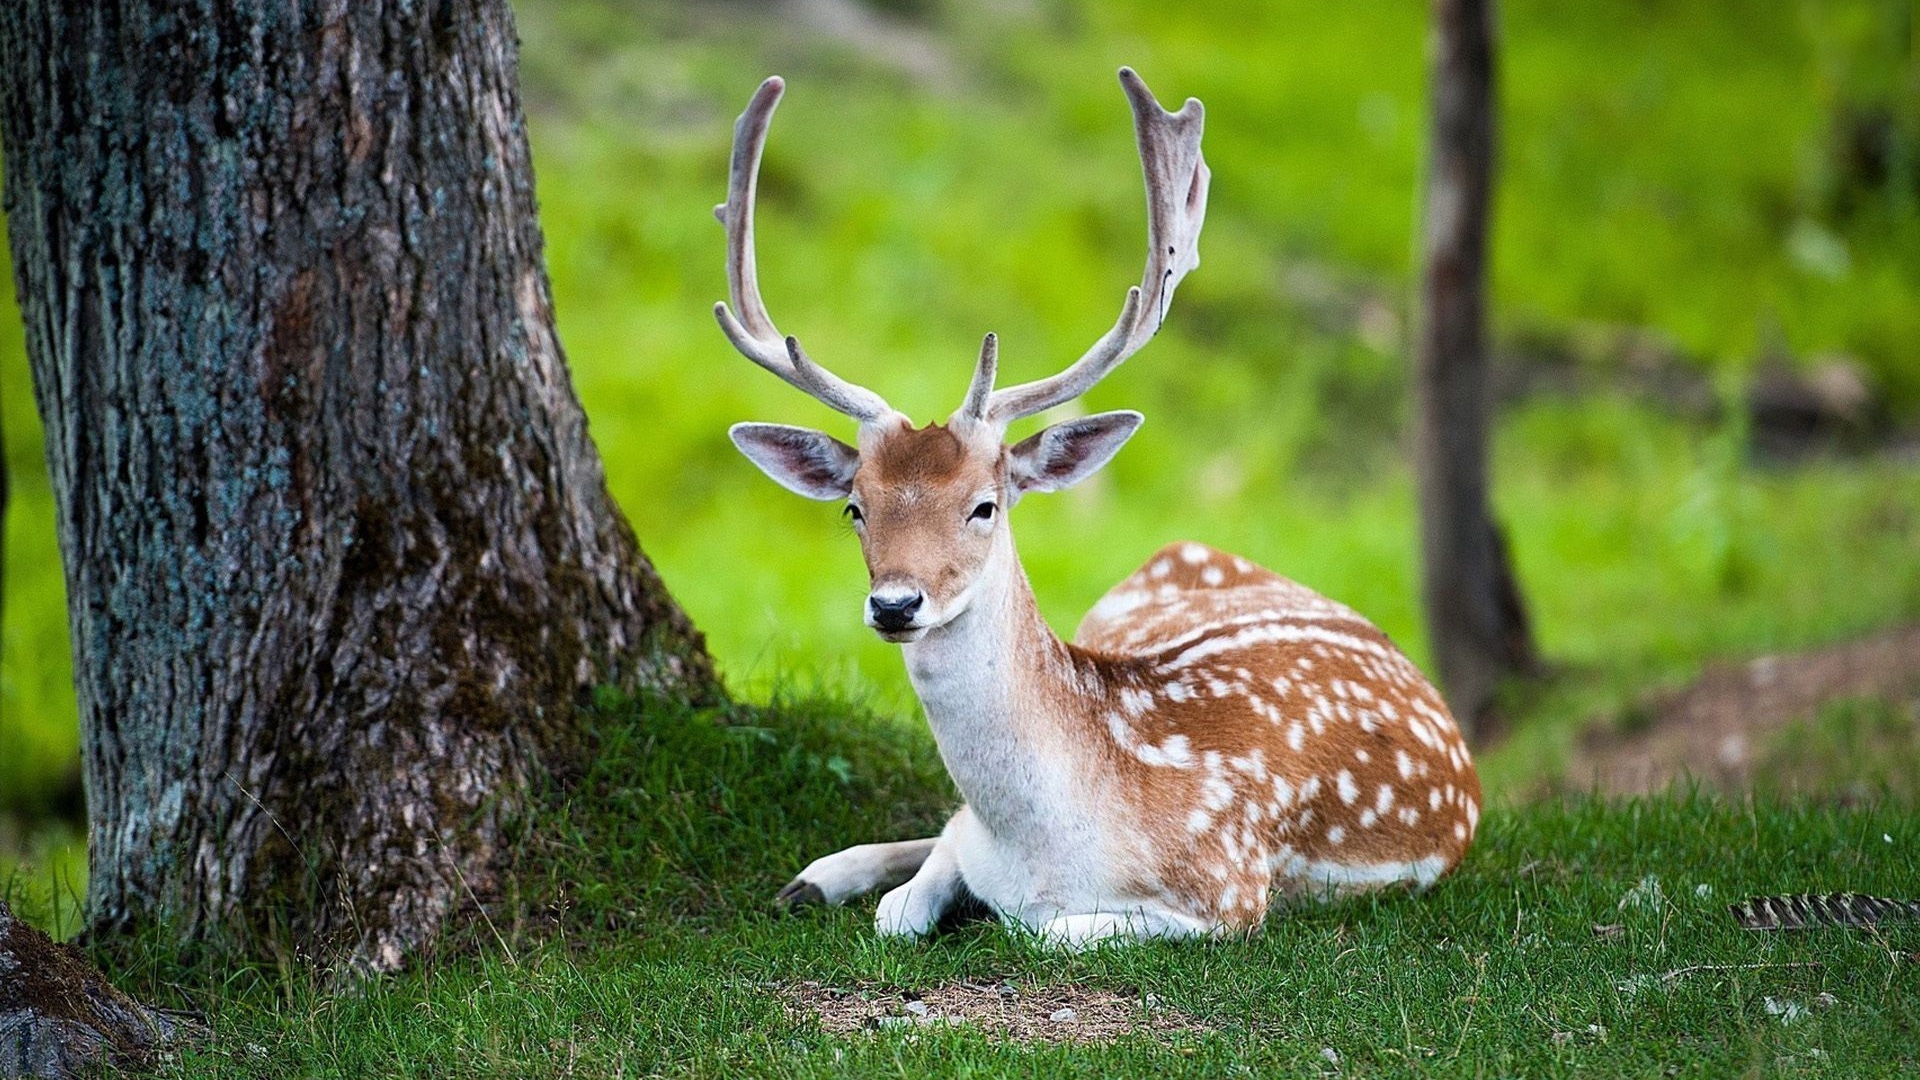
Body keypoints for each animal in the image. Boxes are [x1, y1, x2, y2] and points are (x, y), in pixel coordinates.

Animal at [714, 69, 1474, 941]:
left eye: (985, 506)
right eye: (856, 509)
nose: (896, 604)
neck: (1044, 843)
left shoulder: (1229, 893)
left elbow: (1037, 928)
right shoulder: (972, 839)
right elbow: (905, 903)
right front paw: (849, 881)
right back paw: (815, 877)